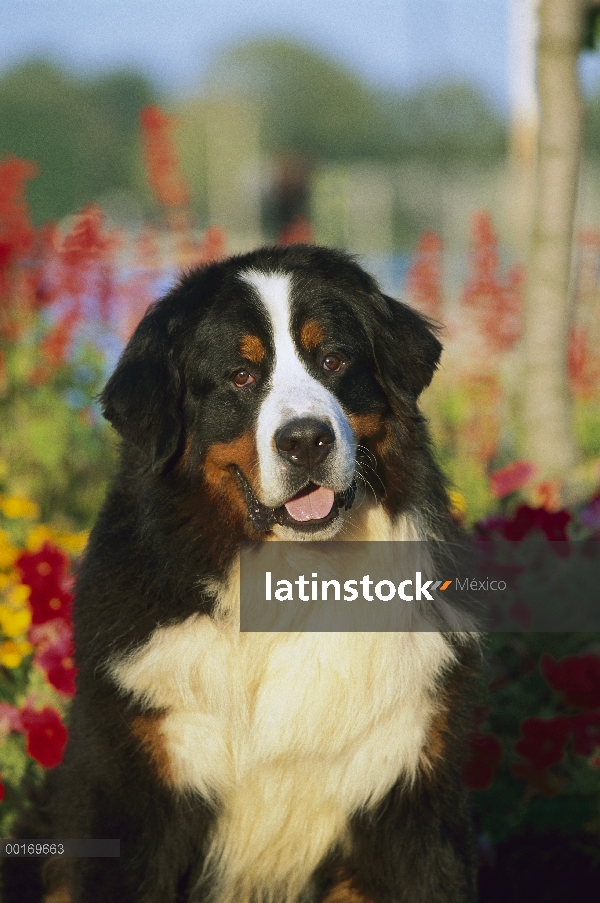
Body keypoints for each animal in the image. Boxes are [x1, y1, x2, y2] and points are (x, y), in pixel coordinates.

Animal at [1, 245, 478, 903]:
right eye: (241, 377)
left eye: (333, 360)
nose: (306, 440)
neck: (293, 579)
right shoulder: (131, 791)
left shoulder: (407, 789)